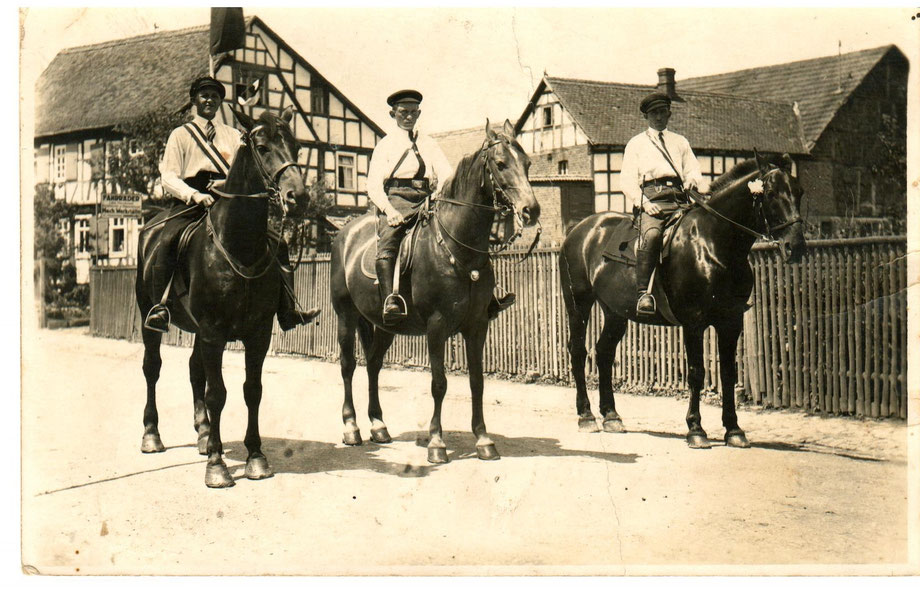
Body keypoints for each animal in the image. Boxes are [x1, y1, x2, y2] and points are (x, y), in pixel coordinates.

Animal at [135, 108, 310, 490]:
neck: (238, 245)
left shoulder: (257, 334)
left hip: (199, 332)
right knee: (152, 368)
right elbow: (218, 393)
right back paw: (152, 436)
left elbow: (252, 390)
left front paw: (256, 457)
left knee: (194, 370)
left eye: (297, 146)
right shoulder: (214, 333)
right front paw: (217, 466)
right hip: (151, 321)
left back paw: (202, 433)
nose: (298, 197)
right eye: (262, 146)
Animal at [330, 118, 540, 464]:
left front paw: (484, 440)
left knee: (373, 364)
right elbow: (439, 383)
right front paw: (437, 443)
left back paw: (378, 426)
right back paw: (351, 428)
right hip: (345, 316)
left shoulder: (477, 326)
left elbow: (477, 382)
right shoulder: (437, 326)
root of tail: (345, 233)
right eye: (500, 163)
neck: (457, 246)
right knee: (348, 366)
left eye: (527, 163)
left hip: (385, 325)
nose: (530, 210)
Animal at [556, 152, 800, 448]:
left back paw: (611, 416)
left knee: (604, 353)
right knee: (578, 352)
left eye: (799, 191)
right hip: (578, 304)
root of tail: (580, 230)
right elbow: (696, 371)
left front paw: (733, 430)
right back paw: (587, 416)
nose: (795, 246)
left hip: (615, 312)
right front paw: (696, 429)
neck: (713, 242)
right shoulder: (694, 323)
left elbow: (728, 374)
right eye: (771, 193)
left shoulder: (730, 322)